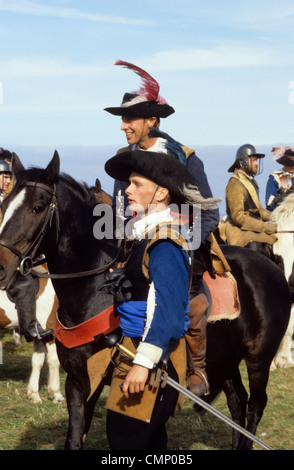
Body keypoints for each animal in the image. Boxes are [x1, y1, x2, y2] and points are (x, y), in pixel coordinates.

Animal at [0, 152, 290, 450]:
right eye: (4, 205)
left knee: (255, 405)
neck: (94, 294)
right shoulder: (79, 383)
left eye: (37, 208)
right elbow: (74, 439)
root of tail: (271, 266)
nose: (1, 269)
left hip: (258, 359)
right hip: (227, 361)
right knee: (237, 403)